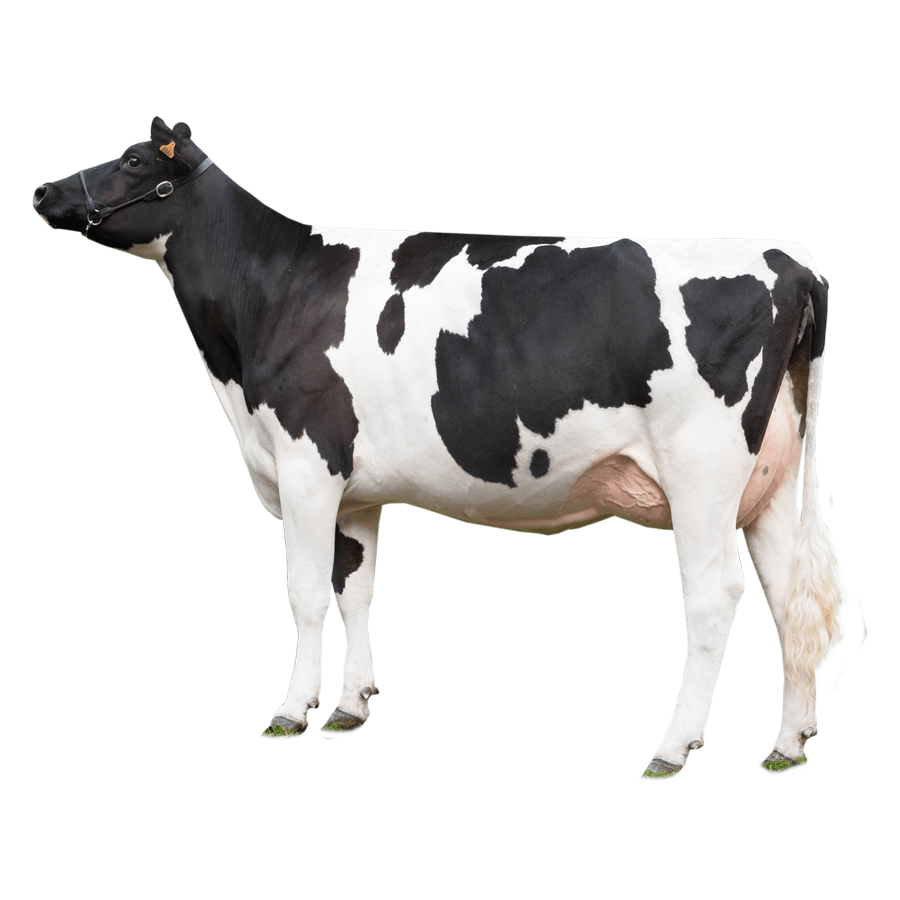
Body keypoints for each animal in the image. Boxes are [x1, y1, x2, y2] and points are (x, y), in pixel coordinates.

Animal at [33, 117, 845, 780]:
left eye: (134, 159)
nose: (43, 190)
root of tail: (791, 259)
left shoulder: (306, 463)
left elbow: (305, 593)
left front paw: (293, 709)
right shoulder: (353, 488)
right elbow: (353, 588)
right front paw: (352, 703)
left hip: (702, 476)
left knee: (715, 596)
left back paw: (674, 746)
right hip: (768, 484)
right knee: (789, 598)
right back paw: (788, 742)